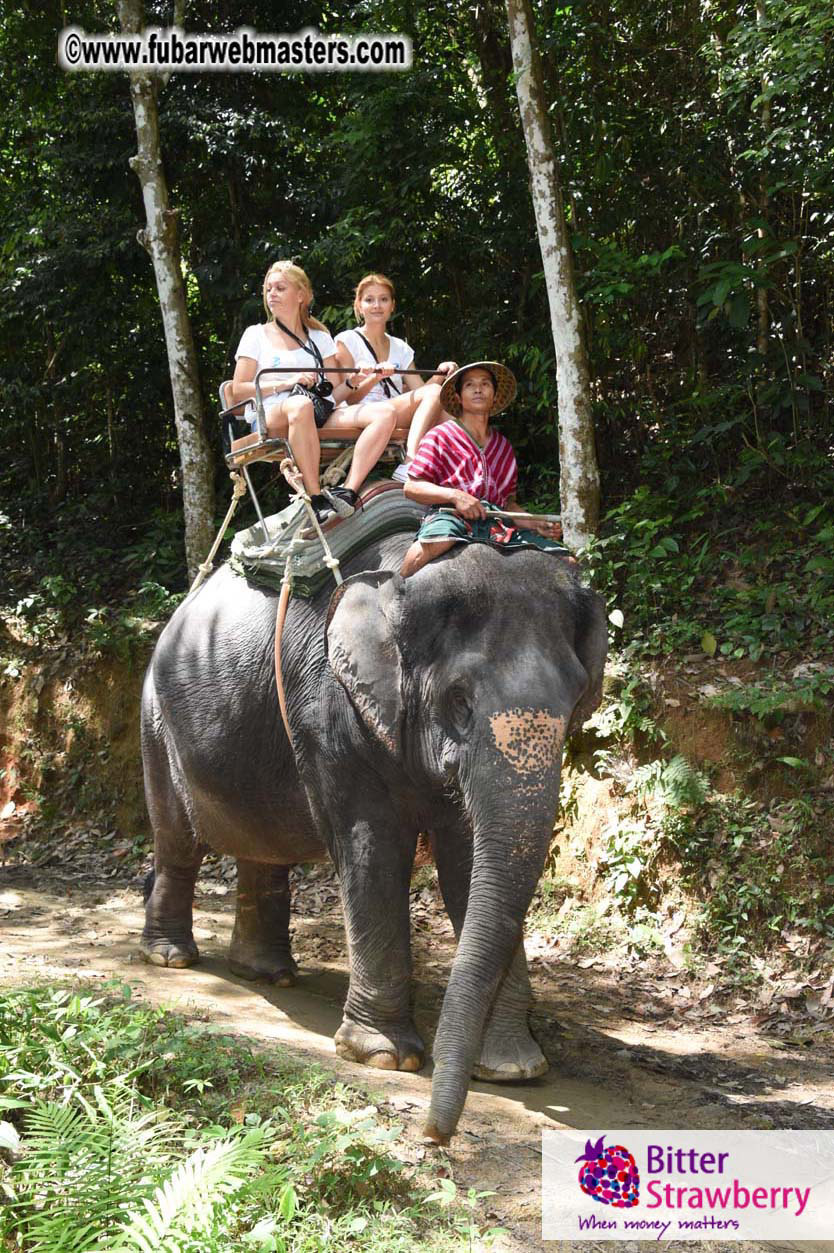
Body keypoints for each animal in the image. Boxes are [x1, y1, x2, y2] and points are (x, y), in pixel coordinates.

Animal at [139, 529, 607, 1144]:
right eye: (459, 699)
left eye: (577, 697)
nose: (435, 1134)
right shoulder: (330, 709)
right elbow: (372, 849)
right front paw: (384, 1057)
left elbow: (467, 862)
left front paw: (515, 1070)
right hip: (155, 721)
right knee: (178, 841)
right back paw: (171, 958)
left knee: (263, 848)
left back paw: (268, 974)